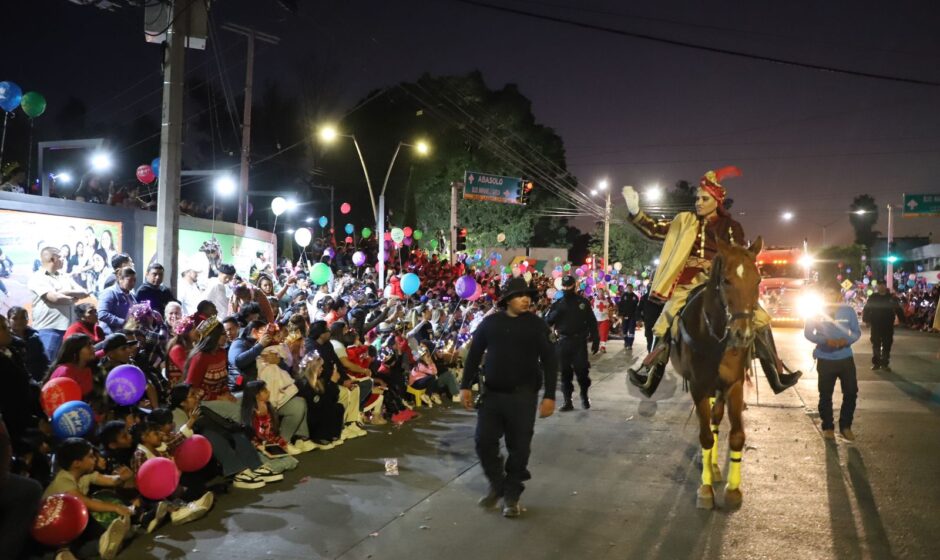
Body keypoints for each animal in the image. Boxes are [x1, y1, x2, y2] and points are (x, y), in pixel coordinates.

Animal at [672, 236, 760, 508]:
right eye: (726, 280)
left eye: (758, 281)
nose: (743, 335)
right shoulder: (699, 386)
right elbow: (705, 437)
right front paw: (706, 488)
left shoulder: (734, 384)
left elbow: (736, 435)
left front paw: (733, 489)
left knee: (716, 419)